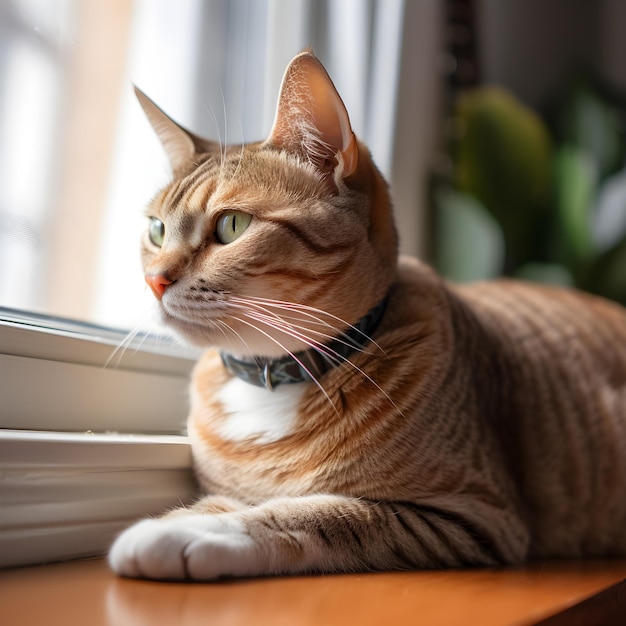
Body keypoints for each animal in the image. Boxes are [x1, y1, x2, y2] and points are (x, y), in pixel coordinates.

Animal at [108, 51, 624, 576]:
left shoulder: (473, 514)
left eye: (232, 226)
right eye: (157, 230)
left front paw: (188, 532)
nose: (155, 281)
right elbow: (223, 503)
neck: (276, 380)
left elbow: (316, 513)